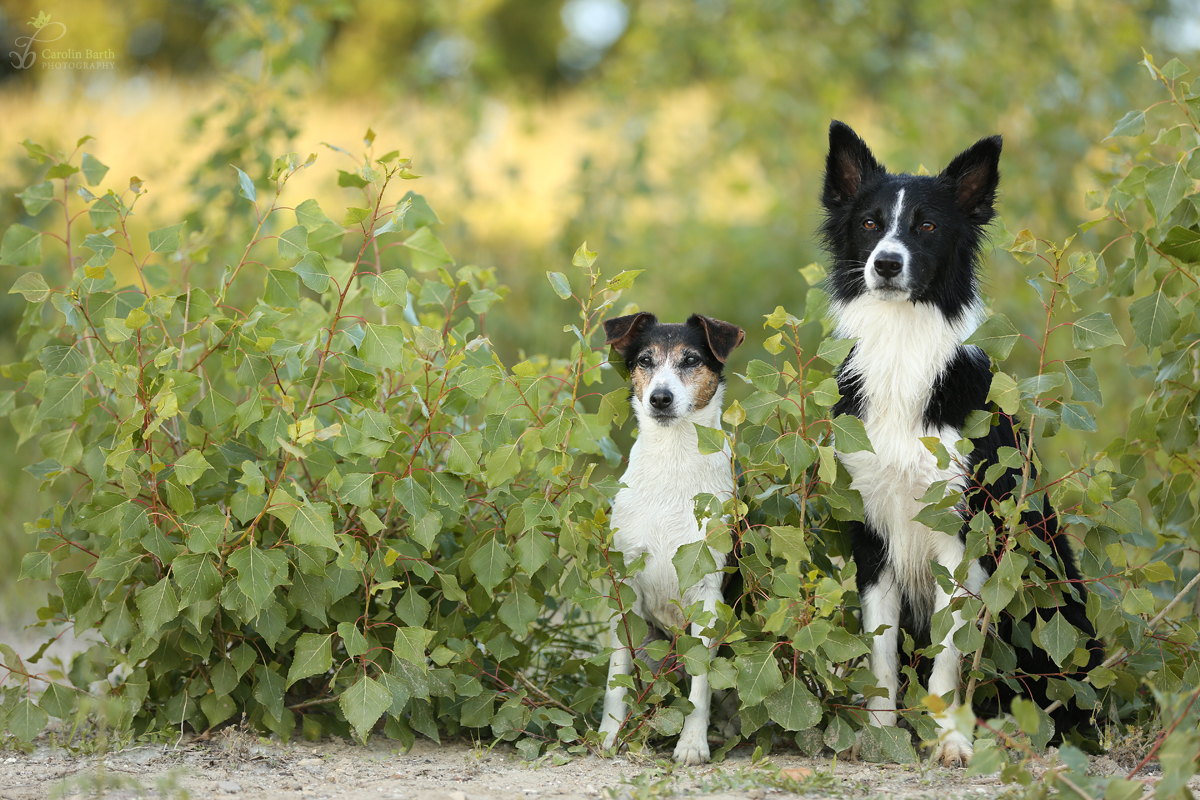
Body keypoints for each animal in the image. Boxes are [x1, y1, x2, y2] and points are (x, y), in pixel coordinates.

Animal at [597, 311, 739, 762]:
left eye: (691, 360)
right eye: (645, 360)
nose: (659, 398)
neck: (672, 463)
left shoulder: (708, 595)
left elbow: (702, 682)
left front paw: (692, 743)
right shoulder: (625, 590)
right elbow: (617, 678)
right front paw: (609, 736)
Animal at [820, 122, 1099, 767]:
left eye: (927, 227)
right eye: (869, 223)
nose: (886, 264)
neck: (902, 351)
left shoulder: (962, 534)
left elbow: (949, 656)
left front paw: (951, 740)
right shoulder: (872, 532)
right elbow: (881, 651)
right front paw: (883, 735)